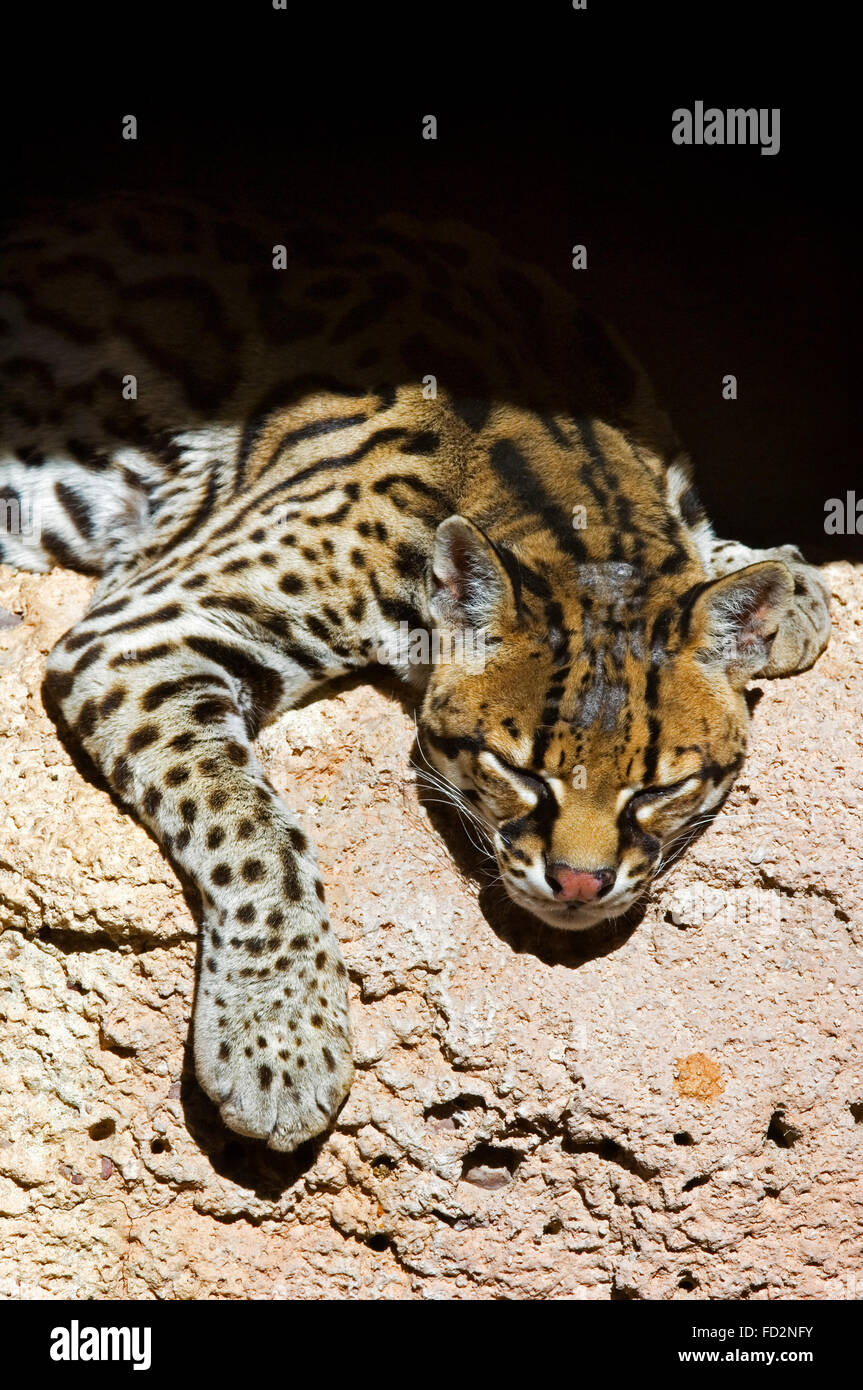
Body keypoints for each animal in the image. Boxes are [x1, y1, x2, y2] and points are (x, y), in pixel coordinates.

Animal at [1, 198, 833, 1150]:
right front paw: (279, 1036)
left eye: (659, 789)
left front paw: (778, 580)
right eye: (518, 773)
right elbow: (251, 827)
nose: (580, 886)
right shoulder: (141, 626)